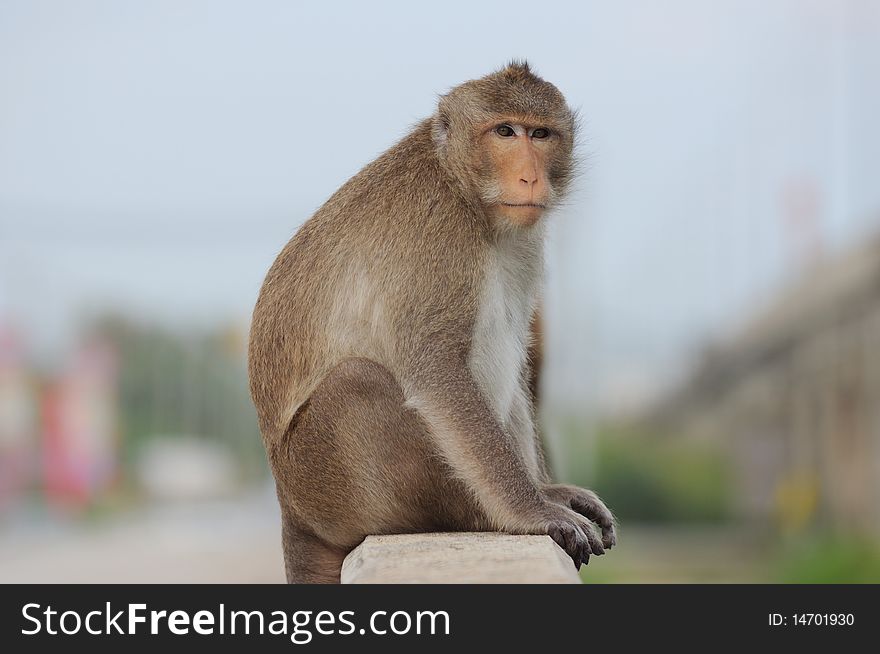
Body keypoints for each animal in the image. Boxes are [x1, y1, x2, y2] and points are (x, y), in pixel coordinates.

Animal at [248, 61, 620, 584]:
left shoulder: (522, 241)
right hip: (325, 487)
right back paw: (474, 515)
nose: (529, 177)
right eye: (505, 132)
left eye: (540, 134)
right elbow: (437, 369)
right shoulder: (440, 235)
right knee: (355, 381)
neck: (462, 186)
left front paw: (546, 493)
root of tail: (290, 508)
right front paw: (533, 511)